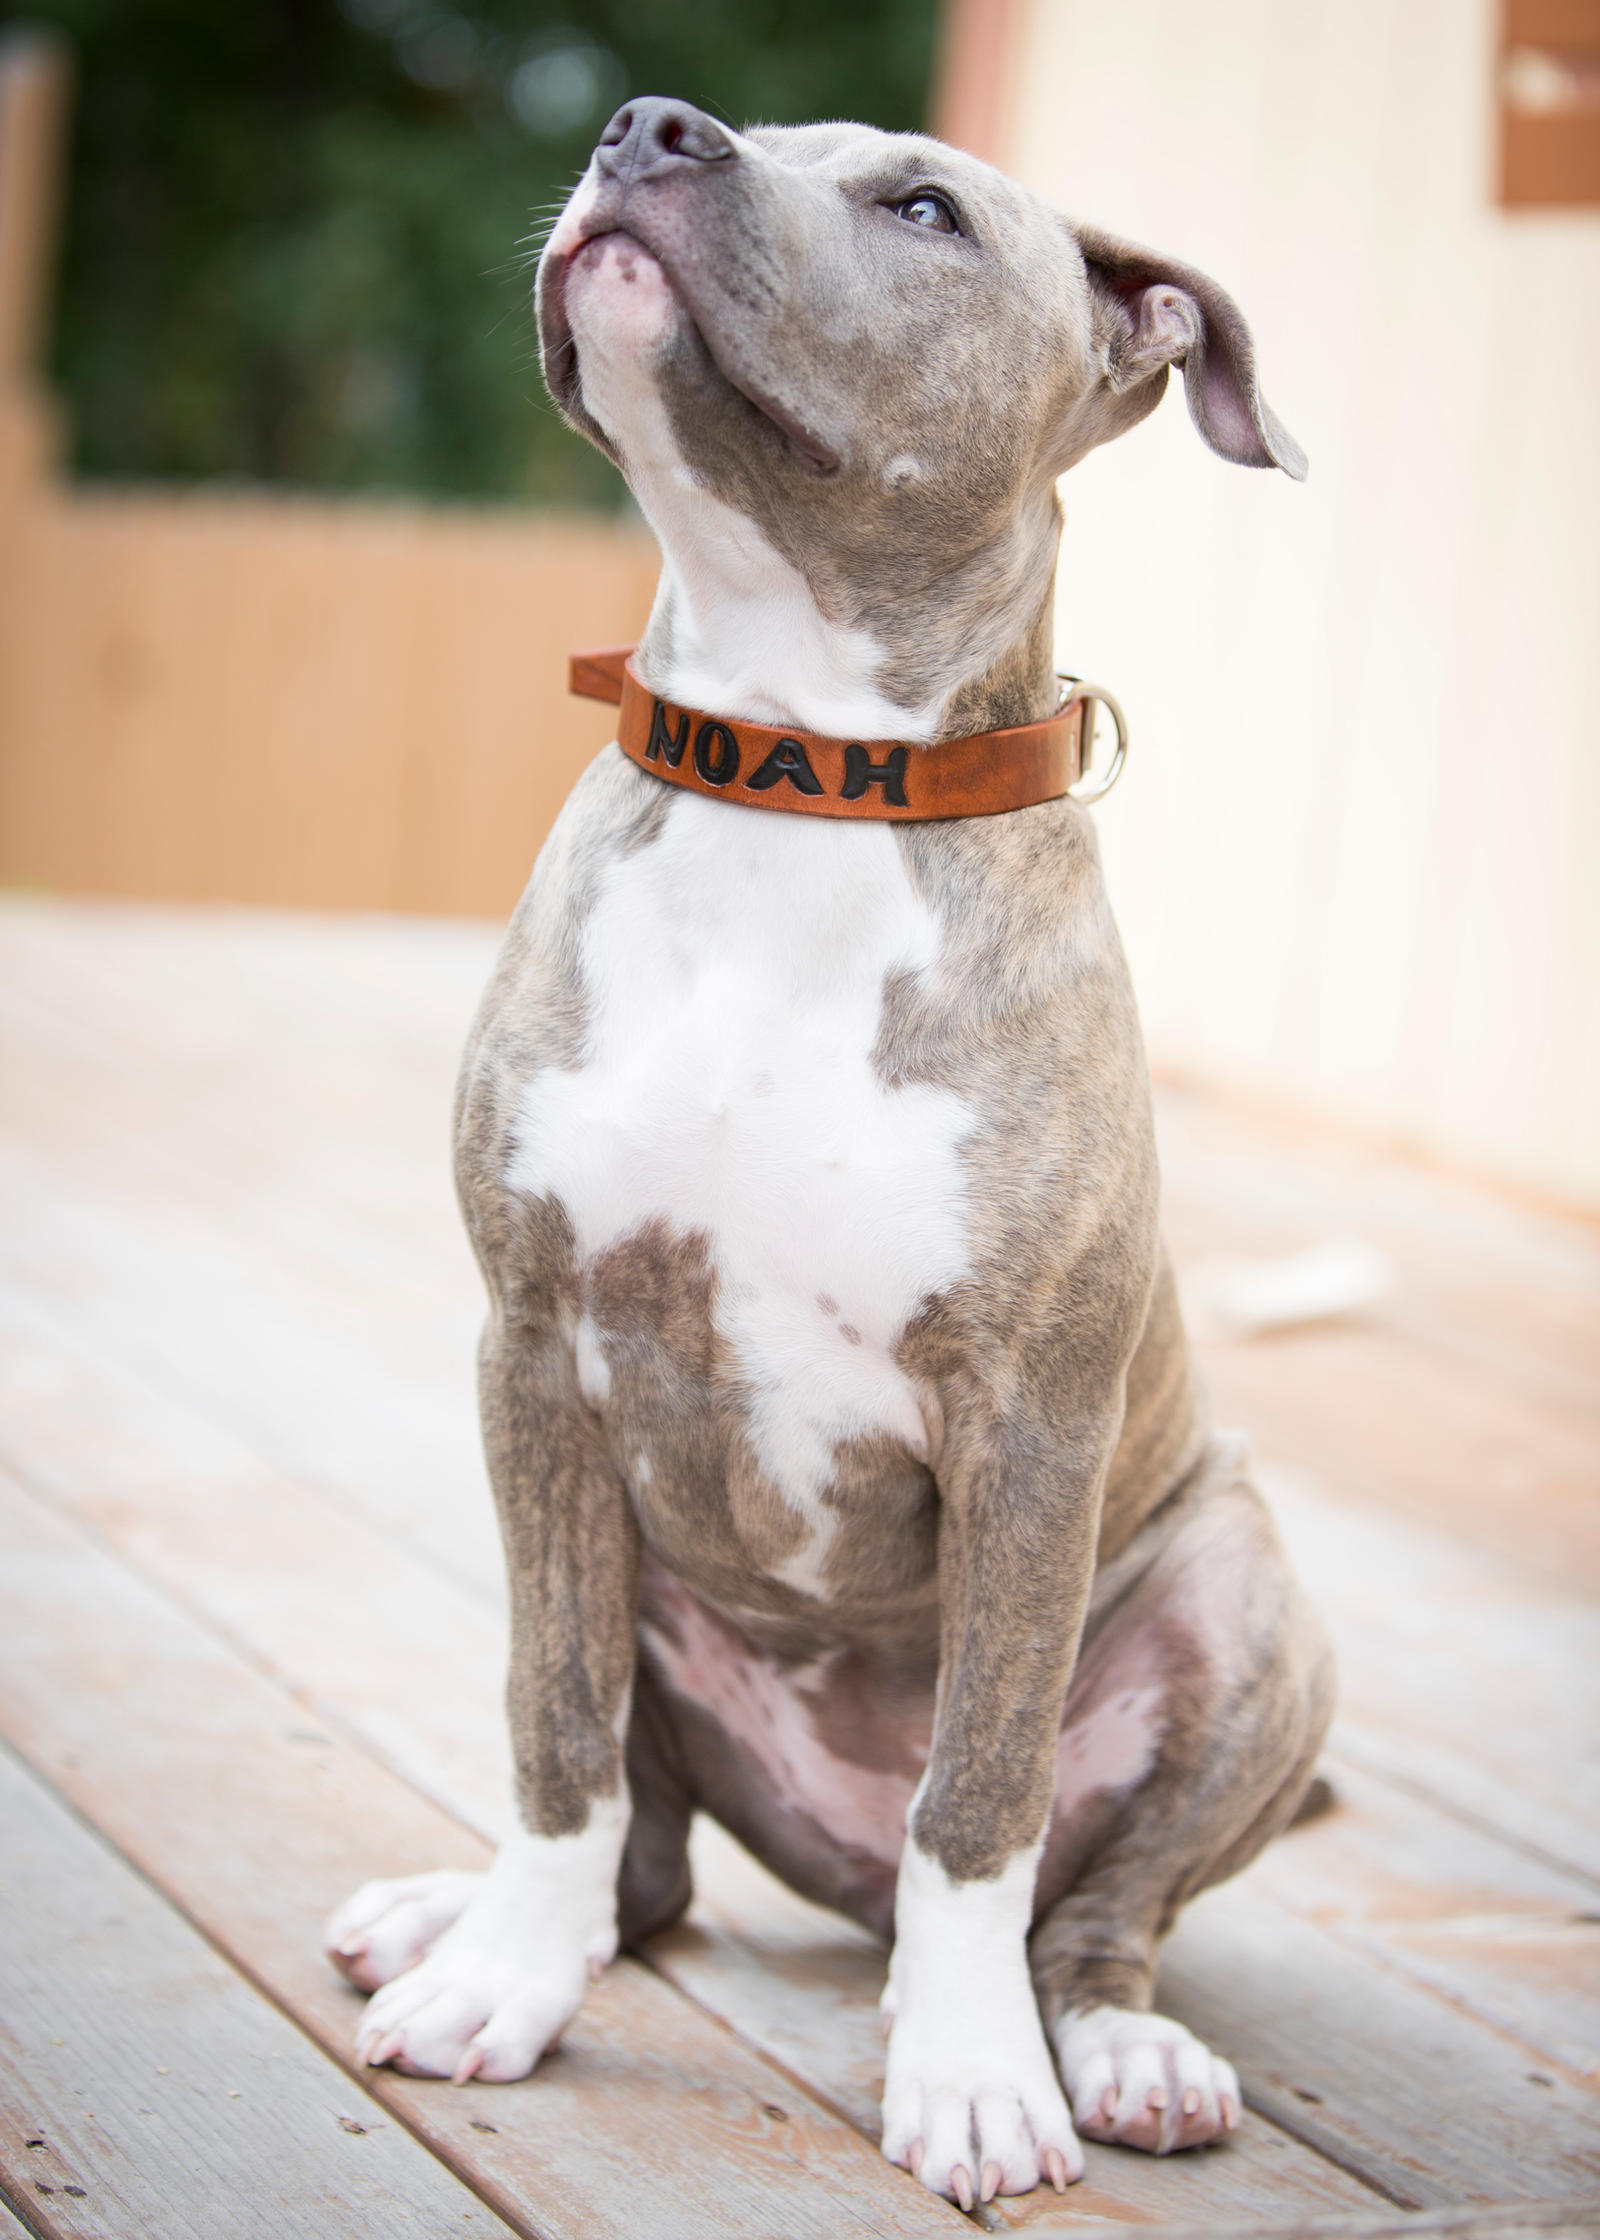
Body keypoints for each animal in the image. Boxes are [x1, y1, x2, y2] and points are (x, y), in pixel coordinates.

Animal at [324, 100, 1335, 2204]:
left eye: (925, 207)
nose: (643, 123)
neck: (794, 780)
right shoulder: (536, 1351)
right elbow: (557, 1728)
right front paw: (502, 1986)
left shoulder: (1029, 1424)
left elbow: (984, 1796)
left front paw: (969, 2080)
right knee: (638, 1853)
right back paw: (458, 1916)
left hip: (1247, 1602)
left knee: (1091, 1909)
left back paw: (1113, 2051)